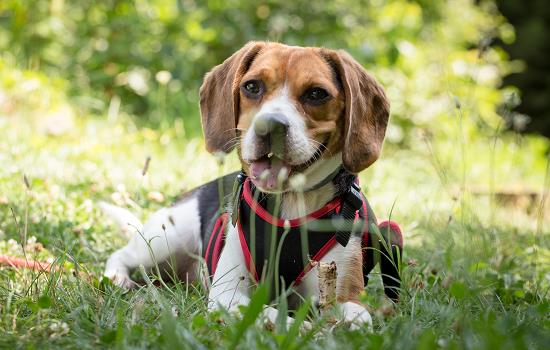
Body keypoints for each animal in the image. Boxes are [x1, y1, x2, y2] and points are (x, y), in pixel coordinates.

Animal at [103, 42, 404, 330]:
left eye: (317, 94)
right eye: (252, 86)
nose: (269, 125)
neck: (290, 201)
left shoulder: (344, 294)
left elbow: (356, 319)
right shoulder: (228, 293)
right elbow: (271, 313)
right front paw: (305, 329)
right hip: (163, 240)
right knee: (122, 255)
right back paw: (118, 277)